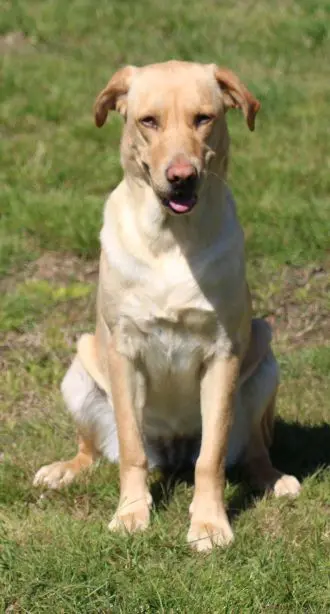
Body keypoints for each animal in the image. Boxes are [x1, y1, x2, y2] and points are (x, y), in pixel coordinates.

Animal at [34, 62, 302, 552]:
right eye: (149, 121)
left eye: (203, 118)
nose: (181, 175)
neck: (172, 240)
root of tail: (173, 450)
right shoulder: (122, 352)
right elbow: (131, 449)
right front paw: (131, 514)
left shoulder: (223, 354)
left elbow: (211, 458)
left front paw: (210, 524)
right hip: (79, 369)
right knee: (94, 450)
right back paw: (63, 470)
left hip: (264, 361)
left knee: (252, 450)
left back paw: (274, 479)